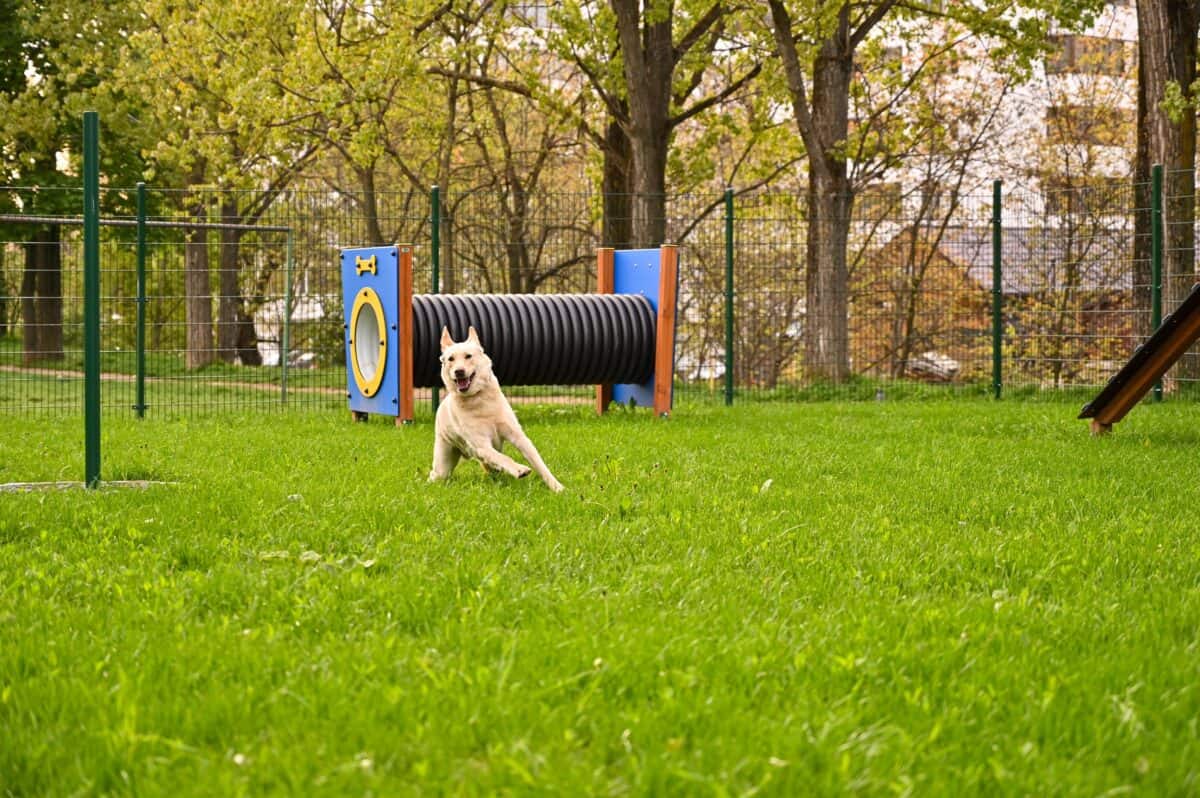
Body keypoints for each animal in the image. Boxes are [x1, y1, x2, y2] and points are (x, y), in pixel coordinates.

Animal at [429, 326, 564, 492]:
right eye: (450, 359)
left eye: (468, 356)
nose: (459, 371)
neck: (479, 399)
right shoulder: (482, 445)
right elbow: (504, 458)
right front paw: (519, 469)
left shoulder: (519, 437)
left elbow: (539, 463)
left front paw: (557, 487)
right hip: (443, 463)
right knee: (437, 474)